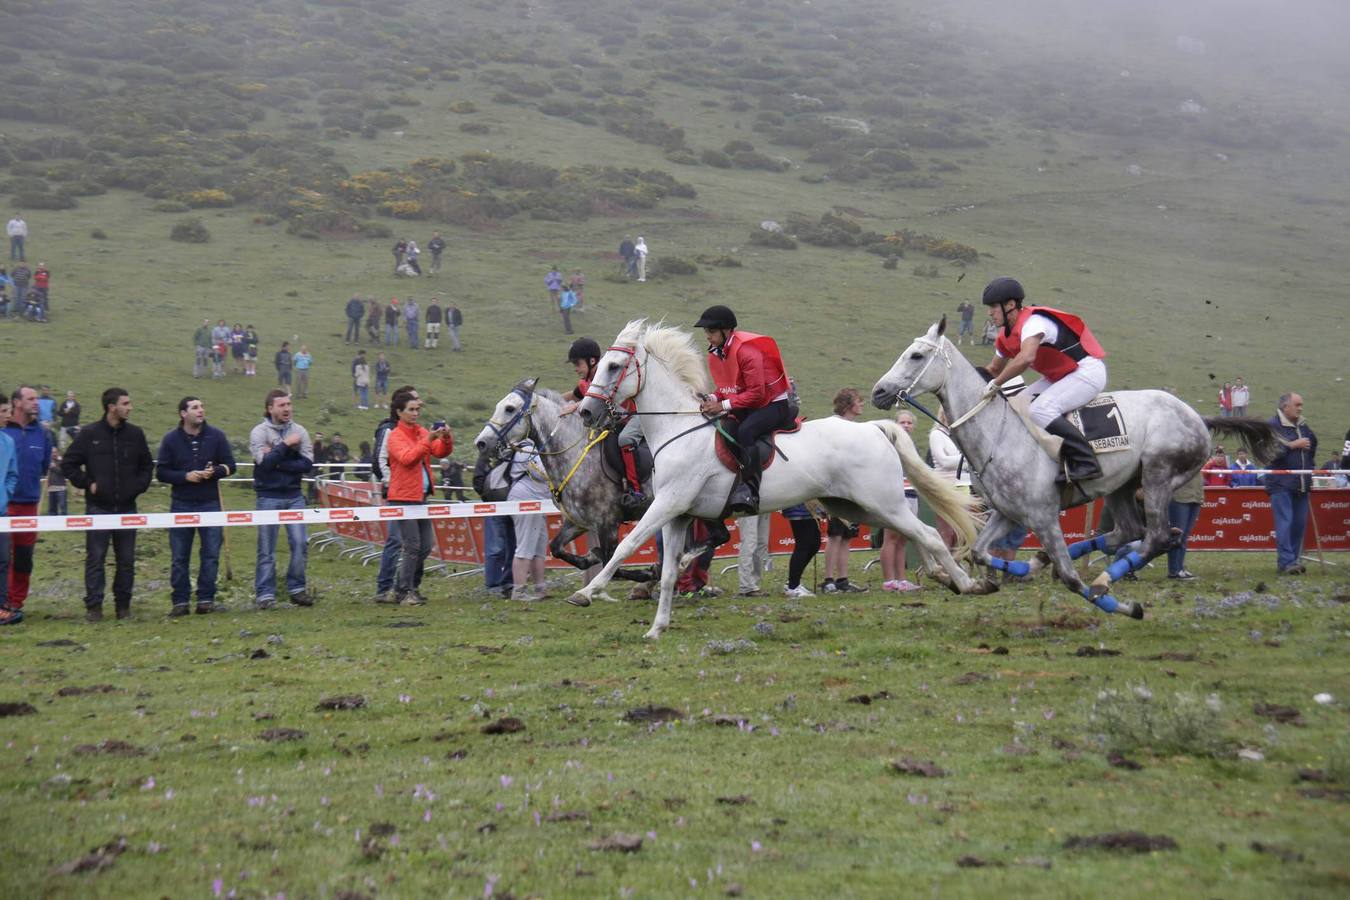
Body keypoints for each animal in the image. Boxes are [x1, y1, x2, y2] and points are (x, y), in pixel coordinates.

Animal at [575, 319, 988, 636]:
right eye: (599, 365)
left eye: (614, 366)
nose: (585, 412)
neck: (678, 428)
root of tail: (874, 428)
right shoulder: (678, 515)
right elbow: (667, 573)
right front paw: (657, 627)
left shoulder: (667, 505)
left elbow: (626, 547)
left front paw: (588, 591)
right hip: (858, 508)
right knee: (915, 535)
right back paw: (946, 577)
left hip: (882, 502)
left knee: (929, 534)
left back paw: (966, 583)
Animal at [869, 317, 1279, 620]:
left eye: (916, 355)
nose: (878, 392)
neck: (998, 433)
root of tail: (1197, 418)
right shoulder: (1008, 513)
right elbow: (980, 553)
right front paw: (1009, 573)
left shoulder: (1043, 515)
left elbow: (1068, 578)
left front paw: (1119, 605)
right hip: (1121, 487)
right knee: (1130, 532)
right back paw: (1050, 561)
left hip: (1158, 475)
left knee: (1159, 536)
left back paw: (1103, 581)